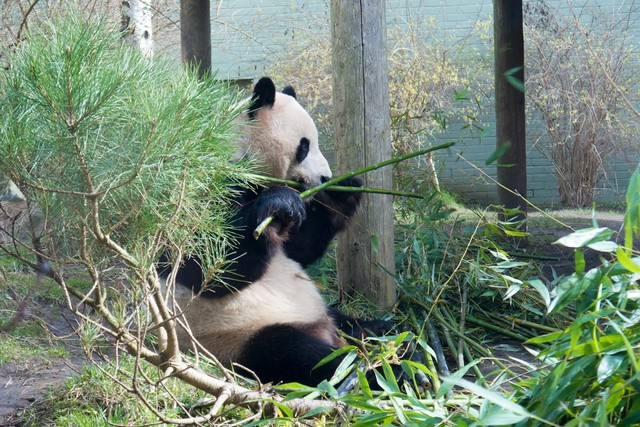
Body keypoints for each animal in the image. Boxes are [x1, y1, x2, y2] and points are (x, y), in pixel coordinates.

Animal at [159, 77, 382, 388]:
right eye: (304, 146)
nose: (324, 177)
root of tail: (323, 330)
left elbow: (298, 250)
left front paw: (341, 193)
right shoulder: (204, 188)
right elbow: (206, 267)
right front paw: (278, 203)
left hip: (323, 311)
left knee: (355, 325)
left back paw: (391, 334)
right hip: (240, 337)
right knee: (300, 354)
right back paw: (378, 371)